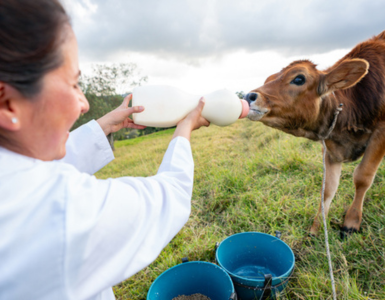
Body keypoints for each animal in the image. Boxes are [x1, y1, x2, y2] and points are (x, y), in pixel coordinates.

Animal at [246, 30, 384, 237]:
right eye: (268, 79)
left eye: (299, 78)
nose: (248, 96)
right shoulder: (331, 147)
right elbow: (328, 188)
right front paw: (316, 227)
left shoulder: (380, 134)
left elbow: (363, 177)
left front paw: (351, 222)